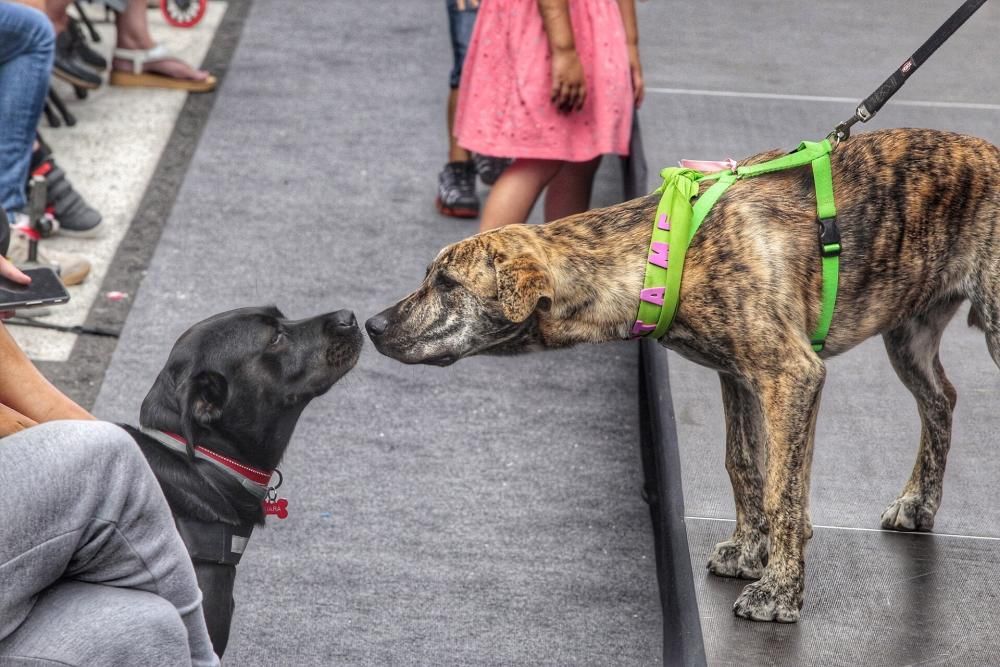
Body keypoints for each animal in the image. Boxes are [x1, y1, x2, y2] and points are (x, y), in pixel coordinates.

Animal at [368, 128, 1000, 624]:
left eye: (446, 284)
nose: (372, 326)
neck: (658, 253)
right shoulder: (739, 377)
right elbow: (744, 465)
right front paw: (749, 551)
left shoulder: (791, 375)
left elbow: (784, 487)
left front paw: (779, 591)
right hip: (908, 335)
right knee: (941, 398)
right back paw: (918, 502)